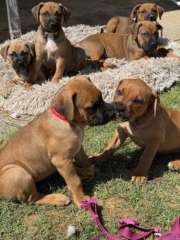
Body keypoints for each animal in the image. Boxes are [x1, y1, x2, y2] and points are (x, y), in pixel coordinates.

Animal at [0, 75, 116, 206]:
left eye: (101, 97)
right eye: (90, 108)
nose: (113, 113)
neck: (68, 122)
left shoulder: (78, 149)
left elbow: (84, 161)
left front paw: (88, 170)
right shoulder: (62, 160)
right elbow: (75, 181)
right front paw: (81, 199)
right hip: (18, 173)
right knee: (34, 199)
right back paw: (57, 198)